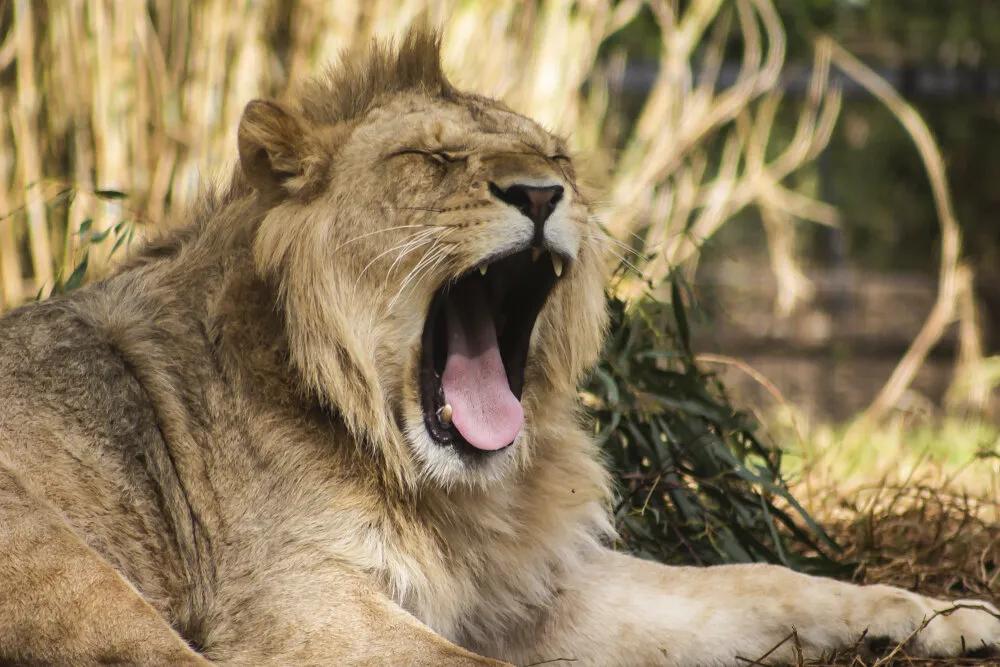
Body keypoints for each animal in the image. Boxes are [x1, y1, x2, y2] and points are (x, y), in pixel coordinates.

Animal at [0, 27, 996, 667]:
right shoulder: (297, 611)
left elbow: (751, 582)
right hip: (55, 553)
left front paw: (939, 613)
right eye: (432, 161)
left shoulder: (535, 589)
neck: (439, 484)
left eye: (556, 158)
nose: (542, 194)